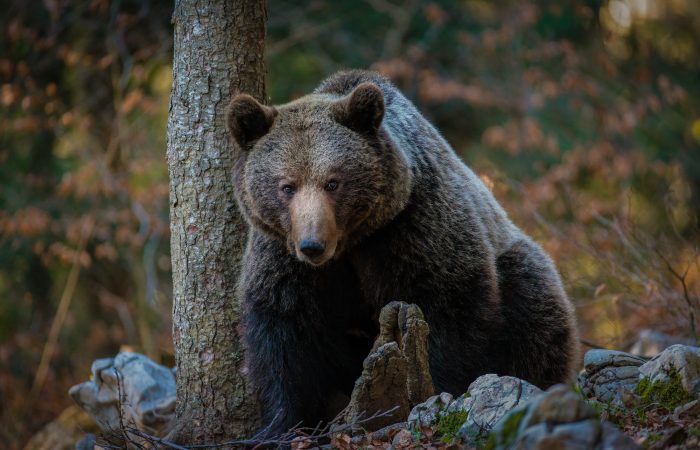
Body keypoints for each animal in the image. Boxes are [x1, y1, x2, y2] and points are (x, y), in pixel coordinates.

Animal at [226, 70, 579, 436]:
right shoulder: (284, 257)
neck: (351, 242)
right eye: (287, 186)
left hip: (519, 267)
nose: (312, 245)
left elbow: (445, 310)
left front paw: (430, 391)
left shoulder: (413, 227)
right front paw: (281, 424)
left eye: (333, 182)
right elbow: (285, 332)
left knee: (533, 307)